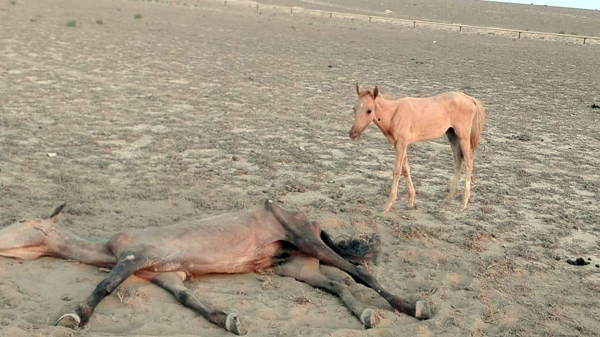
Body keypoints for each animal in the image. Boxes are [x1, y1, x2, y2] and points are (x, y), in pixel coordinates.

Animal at [0, 200, 432, 334]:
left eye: (19, 221)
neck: (106, 246)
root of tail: (309, 219)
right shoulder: (167, 276)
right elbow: (191, 302)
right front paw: (230, 320)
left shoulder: (133, 257)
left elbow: (104, 286)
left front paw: (75, 316)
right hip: (296, 267)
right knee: (339, 286)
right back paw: (366, 316)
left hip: (307, 241)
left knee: (359, 273)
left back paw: (413, 307)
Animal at [350, 83, 486, 210]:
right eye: (354, 108)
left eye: (369, 110)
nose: (352, 134)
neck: (394, 113)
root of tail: (470, 99)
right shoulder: (399, 144)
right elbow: (405, 169)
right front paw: (411, 201)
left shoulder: (401, 143)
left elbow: (397, 170)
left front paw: (388, 205)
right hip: (451, 134)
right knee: (458, 159)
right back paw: (448, 200)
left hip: (463, 136)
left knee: (468, 162)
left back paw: (463, 203)